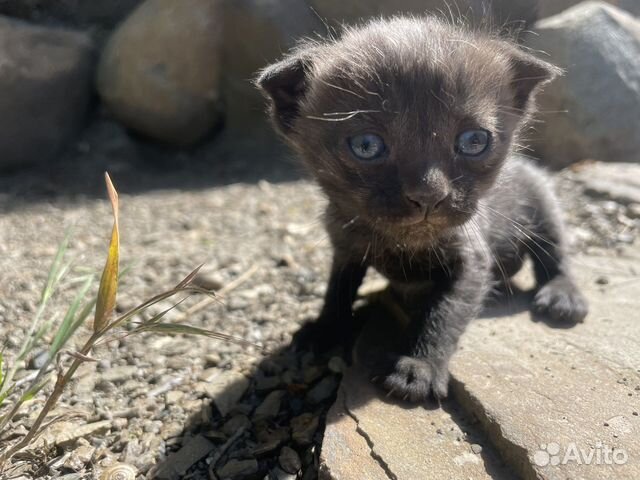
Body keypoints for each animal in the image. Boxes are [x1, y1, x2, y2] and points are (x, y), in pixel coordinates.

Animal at [258, 15, 588, 402]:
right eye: (366, 145)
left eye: (474, 141)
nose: (429, 195)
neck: (402, 243)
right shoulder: (346, 245)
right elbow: (337, 289)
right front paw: (325, 329)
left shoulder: (470, 260)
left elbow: (443, 313)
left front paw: (419, 366)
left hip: (542, 200)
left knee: (556, 251)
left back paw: (563, 295)